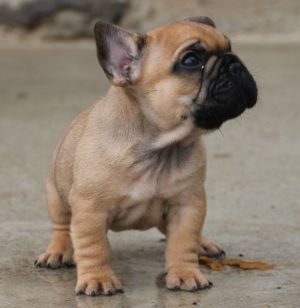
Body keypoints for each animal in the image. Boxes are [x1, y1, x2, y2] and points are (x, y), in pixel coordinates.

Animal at [34, 17, 255, 296]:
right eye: (191, 60)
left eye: (230, 46)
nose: (235, 63)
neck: (159, 149)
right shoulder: (89, 209)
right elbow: (94, 247)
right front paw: (98, 279)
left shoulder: (187, 204)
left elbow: (183, 241)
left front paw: (185, 273)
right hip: (56, 194)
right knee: (63, 226)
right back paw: (59, 251)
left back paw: (202, 244)